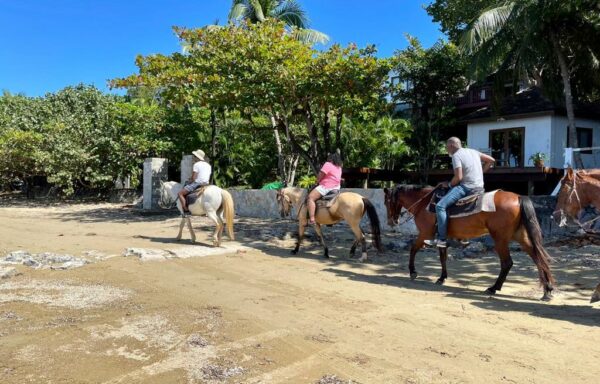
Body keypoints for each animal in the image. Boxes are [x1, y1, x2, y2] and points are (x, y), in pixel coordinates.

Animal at [384, 185, 552, 300]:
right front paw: (442, 278)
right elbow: (442, 257)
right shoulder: (442, 237)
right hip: (521, 237)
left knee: (507, 263)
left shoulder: (425, 234)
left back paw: (493, 288)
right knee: (539, 258)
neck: (424, 203)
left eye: (386, 202)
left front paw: (413, 272)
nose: (391, 222)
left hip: (500, 239)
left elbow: (413, 249)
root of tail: (518, 197)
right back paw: (547, 290)